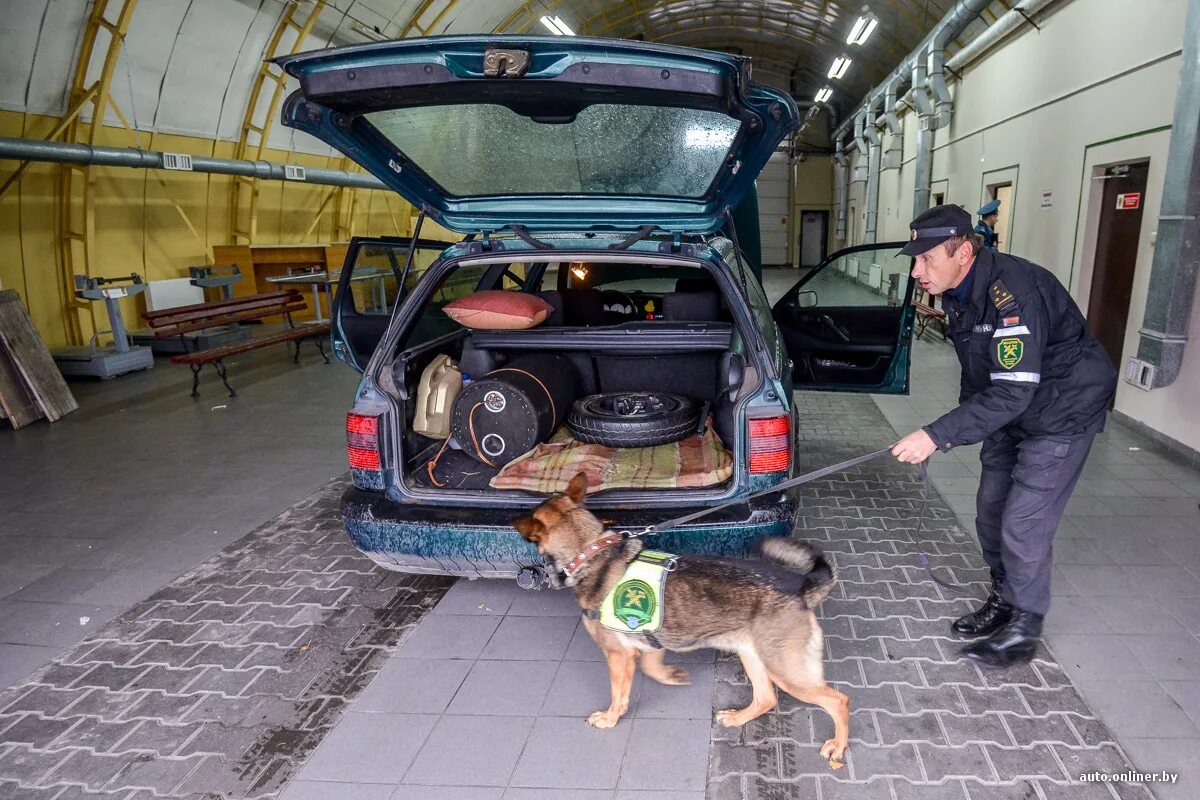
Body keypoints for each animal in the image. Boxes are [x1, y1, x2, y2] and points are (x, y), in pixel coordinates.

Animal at [511, 472, 849, 767]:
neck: (590, 552)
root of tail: (802, 588)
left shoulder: (618, 656)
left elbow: (618, 695)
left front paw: (609, 718)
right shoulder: (649, 641)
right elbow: (652, 665)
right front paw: (670, 675)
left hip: (788, 671)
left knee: (838, 701)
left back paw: (837, 746)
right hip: (753, 656)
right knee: (766, 699)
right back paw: (737, 717)